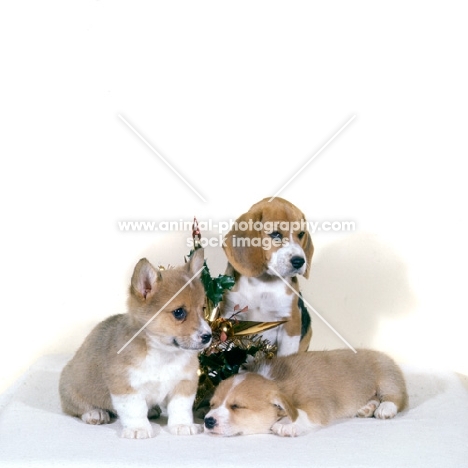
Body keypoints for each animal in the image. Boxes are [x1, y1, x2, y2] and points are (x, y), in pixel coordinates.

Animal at [59, 249, 212, 438]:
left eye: (203, 309)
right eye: (179, 312)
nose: (208, 336)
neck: (163, 354)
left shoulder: (184, 384)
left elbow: (180, 408)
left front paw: (182, 425)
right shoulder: (126, 387)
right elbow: (134, 410)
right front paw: (139, 429)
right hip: (72, 388)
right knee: (77, 407)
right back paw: (95, 413)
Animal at [220, 197, 314, 354]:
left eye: (301, 234)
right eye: (275, 234)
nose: (299, 261)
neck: (263, 283)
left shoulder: (291, 322)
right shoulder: (229, 315)